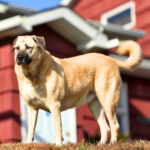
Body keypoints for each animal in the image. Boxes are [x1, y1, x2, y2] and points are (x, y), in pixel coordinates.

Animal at [11, 35, 142, 145]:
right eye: (17, 48)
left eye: (28, 47)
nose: (19, 57)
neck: (32, 76)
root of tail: (111, 59)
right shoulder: (31, 108)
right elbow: (30, 129)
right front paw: (28, 144)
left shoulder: (54, 106)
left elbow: (57, 128)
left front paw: (58, 146)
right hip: (95, 105)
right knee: (105, 127)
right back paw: (100, 145)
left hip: (108, 100)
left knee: (115, 125)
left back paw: (112, 144)